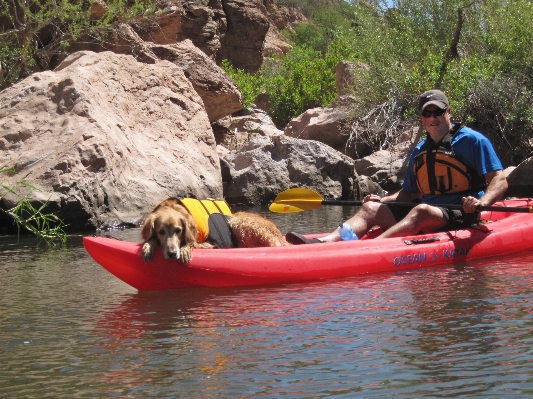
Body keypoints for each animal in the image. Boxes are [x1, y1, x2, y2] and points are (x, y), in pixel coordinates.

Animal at [140, 198, 290, 266]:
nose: (172, 253)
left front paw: (185, 249)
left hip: (239, 222)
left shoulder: (211, 244)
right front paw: (148, 246)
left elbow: (192, 242)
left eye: (178, 230)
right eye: (161, 231)